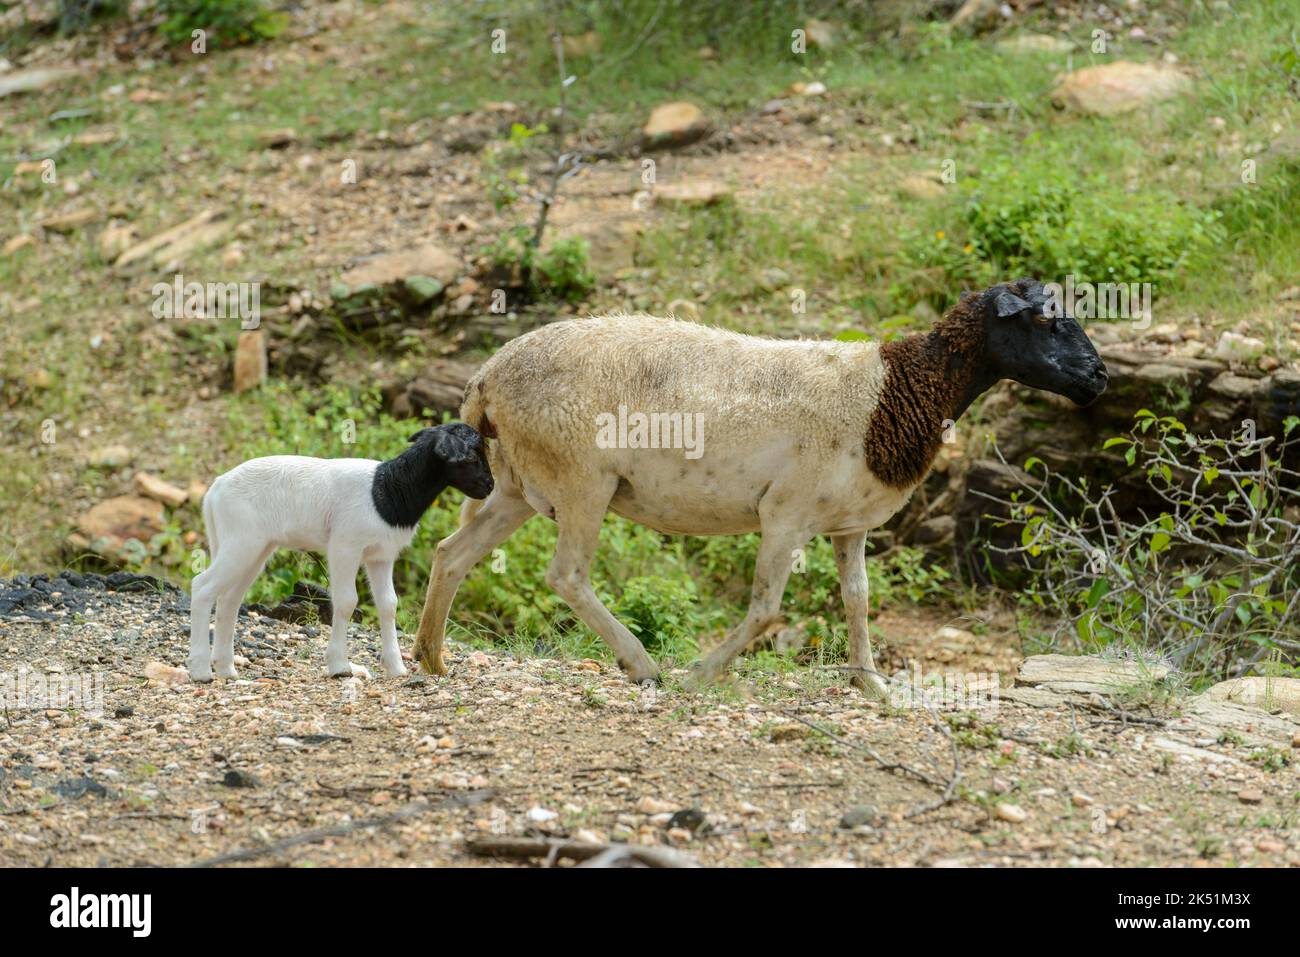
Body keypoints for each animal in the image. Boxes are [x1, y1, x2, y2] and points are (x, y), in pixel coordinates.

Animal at [189, 423, 493, 681]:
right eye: (469, 458)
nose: (489, 486)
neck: (386, 490)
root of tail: (214, 491)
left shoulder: (381, 556)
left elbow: (388, 604)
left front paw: (396, 667)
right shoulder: (345, 547)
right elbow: (347, 601)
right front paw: (339, 666)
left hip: (255, 548)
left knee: (229, 599)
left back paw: (226, 669)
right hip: (240, 541)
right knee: (202, 587)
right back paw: (201, 671)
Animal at [413, 276, 1107, 696]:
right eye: (1047, 324)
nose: (1098, 378)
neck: (893, 392)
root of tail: (486, 378)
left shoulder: (847, 524)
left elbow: (857, 600)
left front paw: (873, 685)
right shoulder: (786, 514)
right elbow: (767, 609)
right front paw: (700, 676)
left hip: (516, 485)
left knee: (451, 554)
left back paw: (432, 657)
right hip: (582, 478)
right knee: (567, 576)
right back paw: (642, 664)